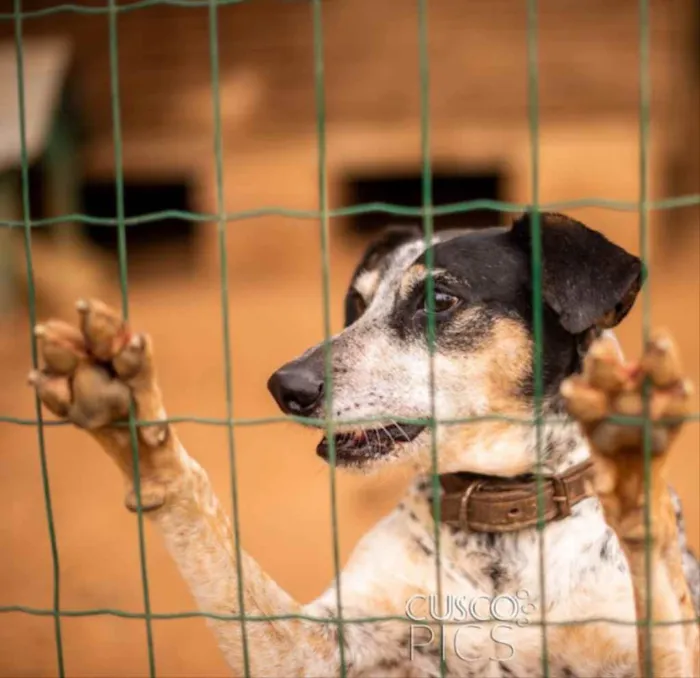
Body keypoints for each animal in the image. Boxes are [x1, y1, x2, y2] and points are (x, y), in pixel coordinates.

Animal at [27, 214, 700, 678]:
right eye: (357, 302)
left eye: (439, 300)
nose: (285, 386)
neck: (499, 522)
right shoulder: (310, 648)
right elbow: (213, 541)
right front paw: (124, 406)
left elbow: (661, 599)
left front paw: (631, 464)